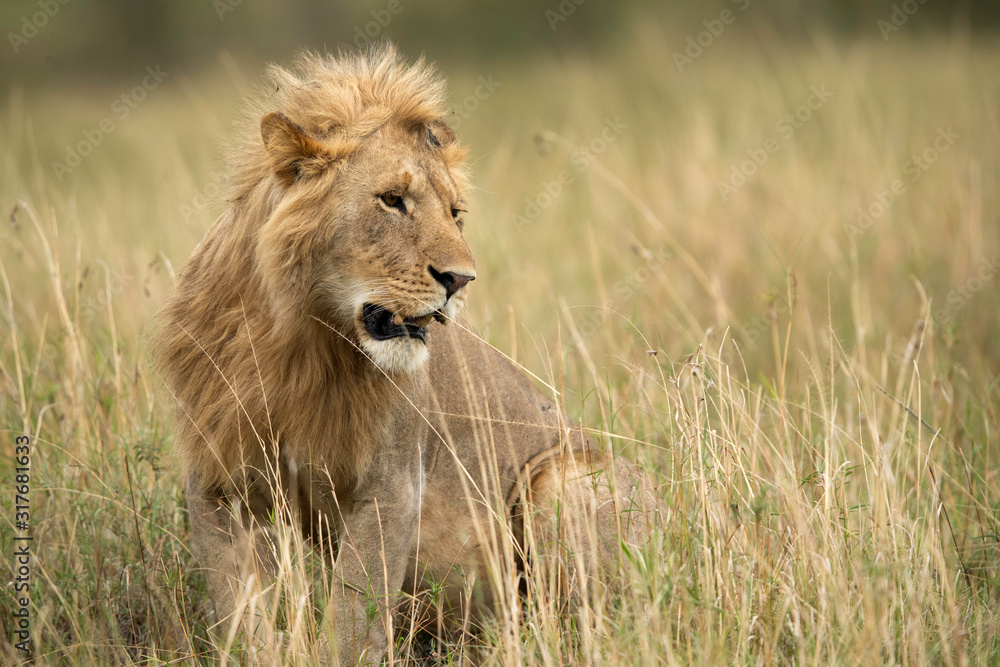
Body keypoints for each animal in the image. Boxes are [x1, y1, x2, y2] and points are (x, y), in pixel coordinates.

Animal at [154, 44, 656, 665]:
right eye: (393, 200)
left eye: (455, 213)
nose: (461, 280)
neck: (297, 342)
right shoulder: (215, 479)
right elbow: (238, 614)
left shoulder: (392, 484)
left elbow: (354, 614)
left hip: (561, 480)